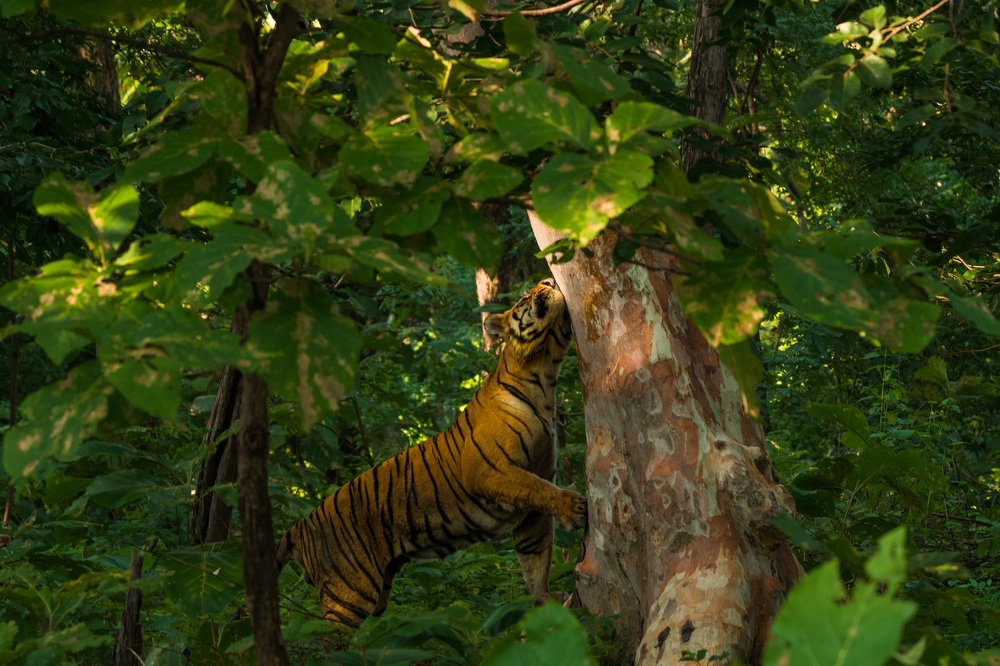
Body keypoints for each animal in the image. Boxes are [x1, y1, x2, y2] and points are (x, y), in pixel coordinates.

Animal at [276, 277, 587, 628]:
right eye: (523, 296)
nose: (547, 280)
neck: (544, 375)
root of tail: (301, 525)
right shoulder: (492, 471)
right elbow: (538, 489)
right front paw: (574, 508)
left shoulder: (533, 500)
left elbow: (535, 558)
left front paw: (547, 601)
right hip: (348, 594)